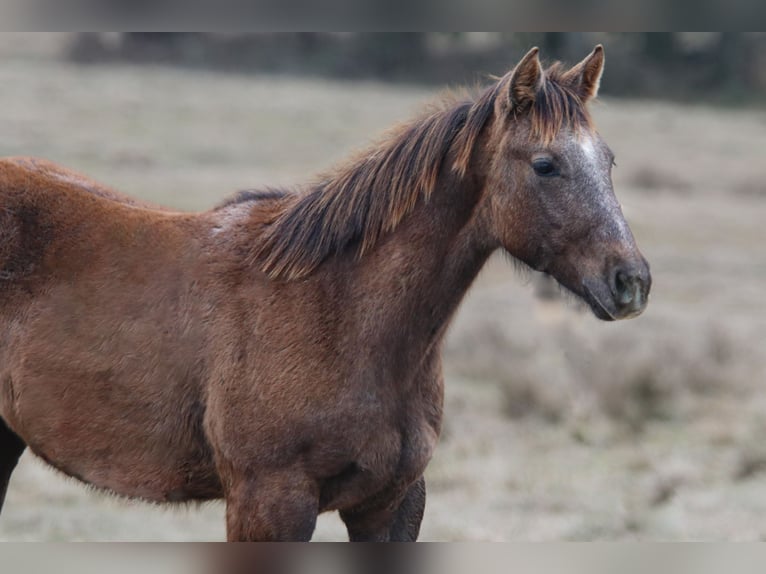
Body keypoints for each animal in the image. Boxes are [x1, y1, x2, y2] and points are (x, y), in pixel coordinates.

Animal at [0, 46, 656, 544]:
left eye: (609, 160)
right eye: (545, 165)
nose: (631, 282)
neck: (340, 314)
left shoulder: (391, 505)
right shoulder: (269, 503)